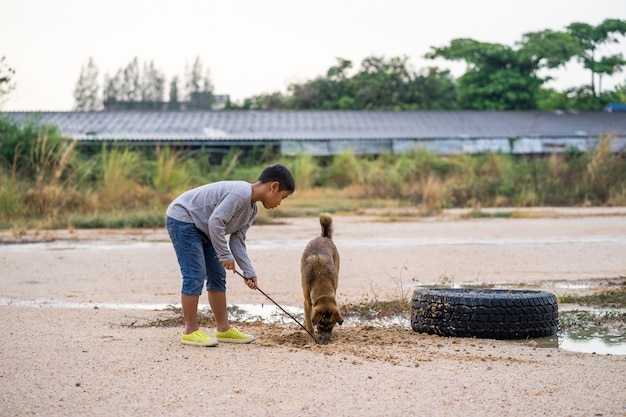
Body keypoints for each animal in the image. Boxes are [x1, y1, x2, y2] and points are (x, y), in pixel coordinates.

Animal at [300, 213, 344, 342]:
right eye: (320, 326)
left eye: (331, 326)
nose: (325, 342)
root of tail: (324, 237)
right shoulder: (307, 301)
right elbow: (310, 322)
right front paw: (311, 337)